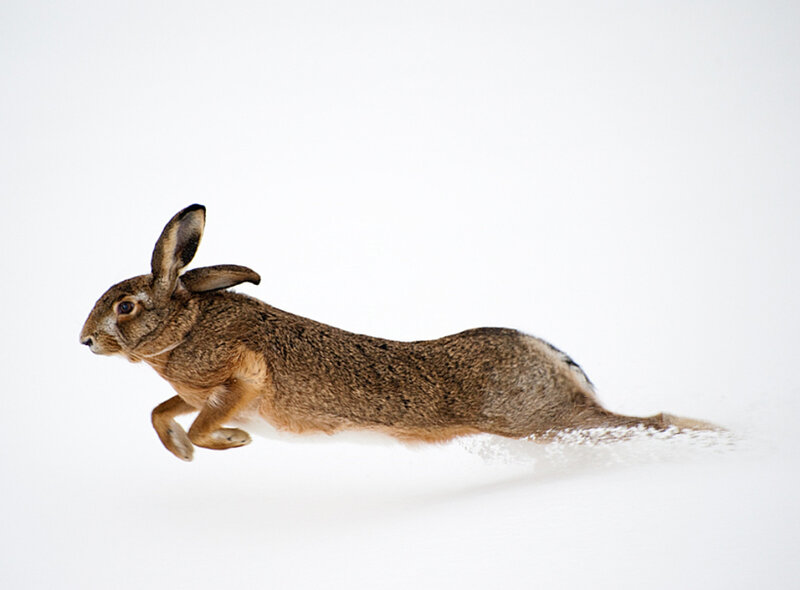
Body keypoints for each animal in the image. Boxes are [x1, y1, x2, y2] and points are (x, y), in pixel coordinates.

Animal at [80, 204, 717, 461]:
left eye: (127, 306)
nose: (84, 341)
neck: (184, 327)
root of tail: (550, 357)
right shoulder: (189, 392)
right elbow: (161, 412)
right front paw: (183, 451)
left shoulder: (242, 374)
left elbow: (211, 414)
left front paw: (229, 442)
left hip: (542, 421)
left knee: (648, 421)